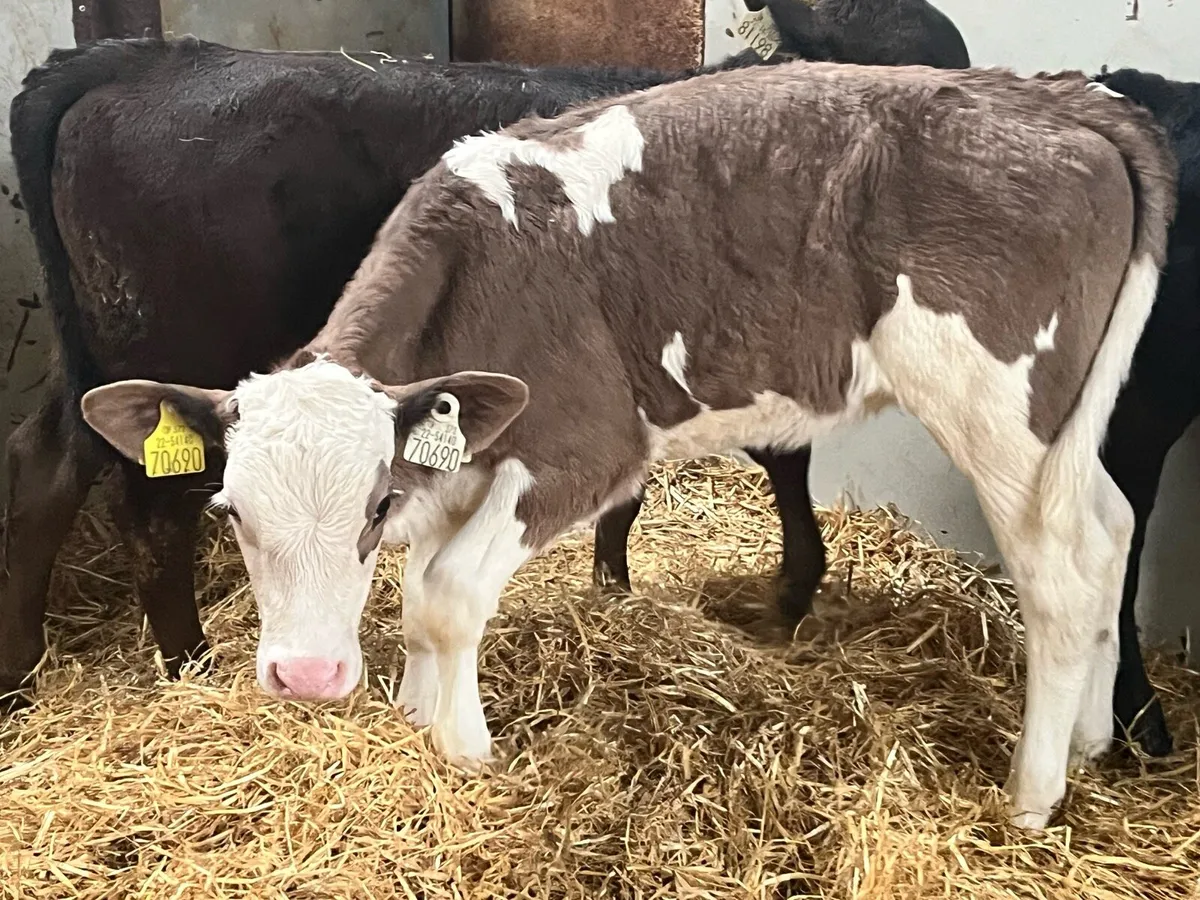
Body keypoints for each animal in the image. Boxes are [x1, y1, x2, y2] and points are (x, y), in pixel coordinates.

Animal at [2, 0, 970, 706]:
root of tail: (141, 57)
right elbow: (783, 454)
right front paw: (794, 589)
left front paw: (611, 586)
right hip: (178, 340)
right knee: (153, 511)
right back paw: (192, 668)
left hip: (99, 348)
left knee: (46, 464)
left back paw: (21, 671)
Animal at [81, 61, 1176, 829]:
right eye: (230, 510)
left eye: (373, 504)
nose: (305, 677)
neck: (476, 270)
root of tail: (1056, 97)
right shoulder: (458, 451)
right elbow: (423, 597)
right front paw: (419, 719)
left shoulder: (583, 447)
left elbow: (445, 593)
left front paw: (464, 753)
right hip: (1066, 415)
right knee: (1114, 526)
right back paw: (1090, 744)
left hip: (997, 402)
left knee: (1062, 569)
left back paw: (1033, 793)